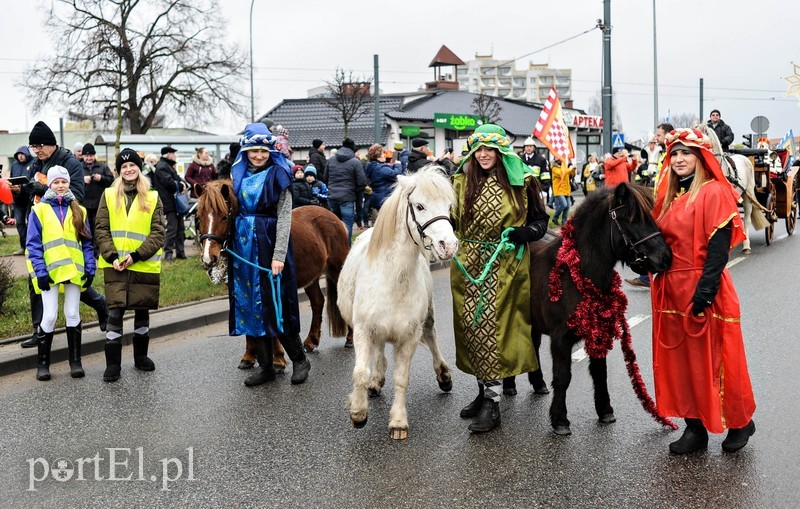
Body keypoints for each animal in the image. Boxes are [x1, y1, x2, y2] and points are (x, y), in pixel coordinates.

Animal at [195, 181, 350, 372]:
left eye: (224, 217)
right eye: (199, 217)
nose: (208, 258)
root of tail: (336, 218)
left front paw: (278, 360)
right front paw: (248, 357)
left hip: (337, 270)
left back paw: (350, 339)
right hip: (312, 277)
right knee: (317, 302)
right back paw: (310, 341)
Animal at [340, 165, 460, 438]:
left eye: (449, 206)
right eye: (420, 206)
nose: (448, 246)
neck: (393, 280)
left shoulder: (409, 336)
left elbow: (401, 378)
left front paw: (397, 422)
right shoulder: (363, 330)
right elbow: (360, 372)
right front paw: (358, 412)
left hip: (427, 319)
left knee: (432, 338)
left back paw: (443, 375)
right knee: (378, 352)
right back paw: (375, 382)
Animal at [510, 181, 672, 434]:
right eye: (633, 218)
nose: (665, 258)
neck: (575, 274)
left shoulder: (598, 333)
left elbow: (599, 372)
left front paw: (605, 410)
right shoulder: (560, 339)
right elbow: (563, 377)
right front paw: (560, 419)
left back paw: (538, 383)